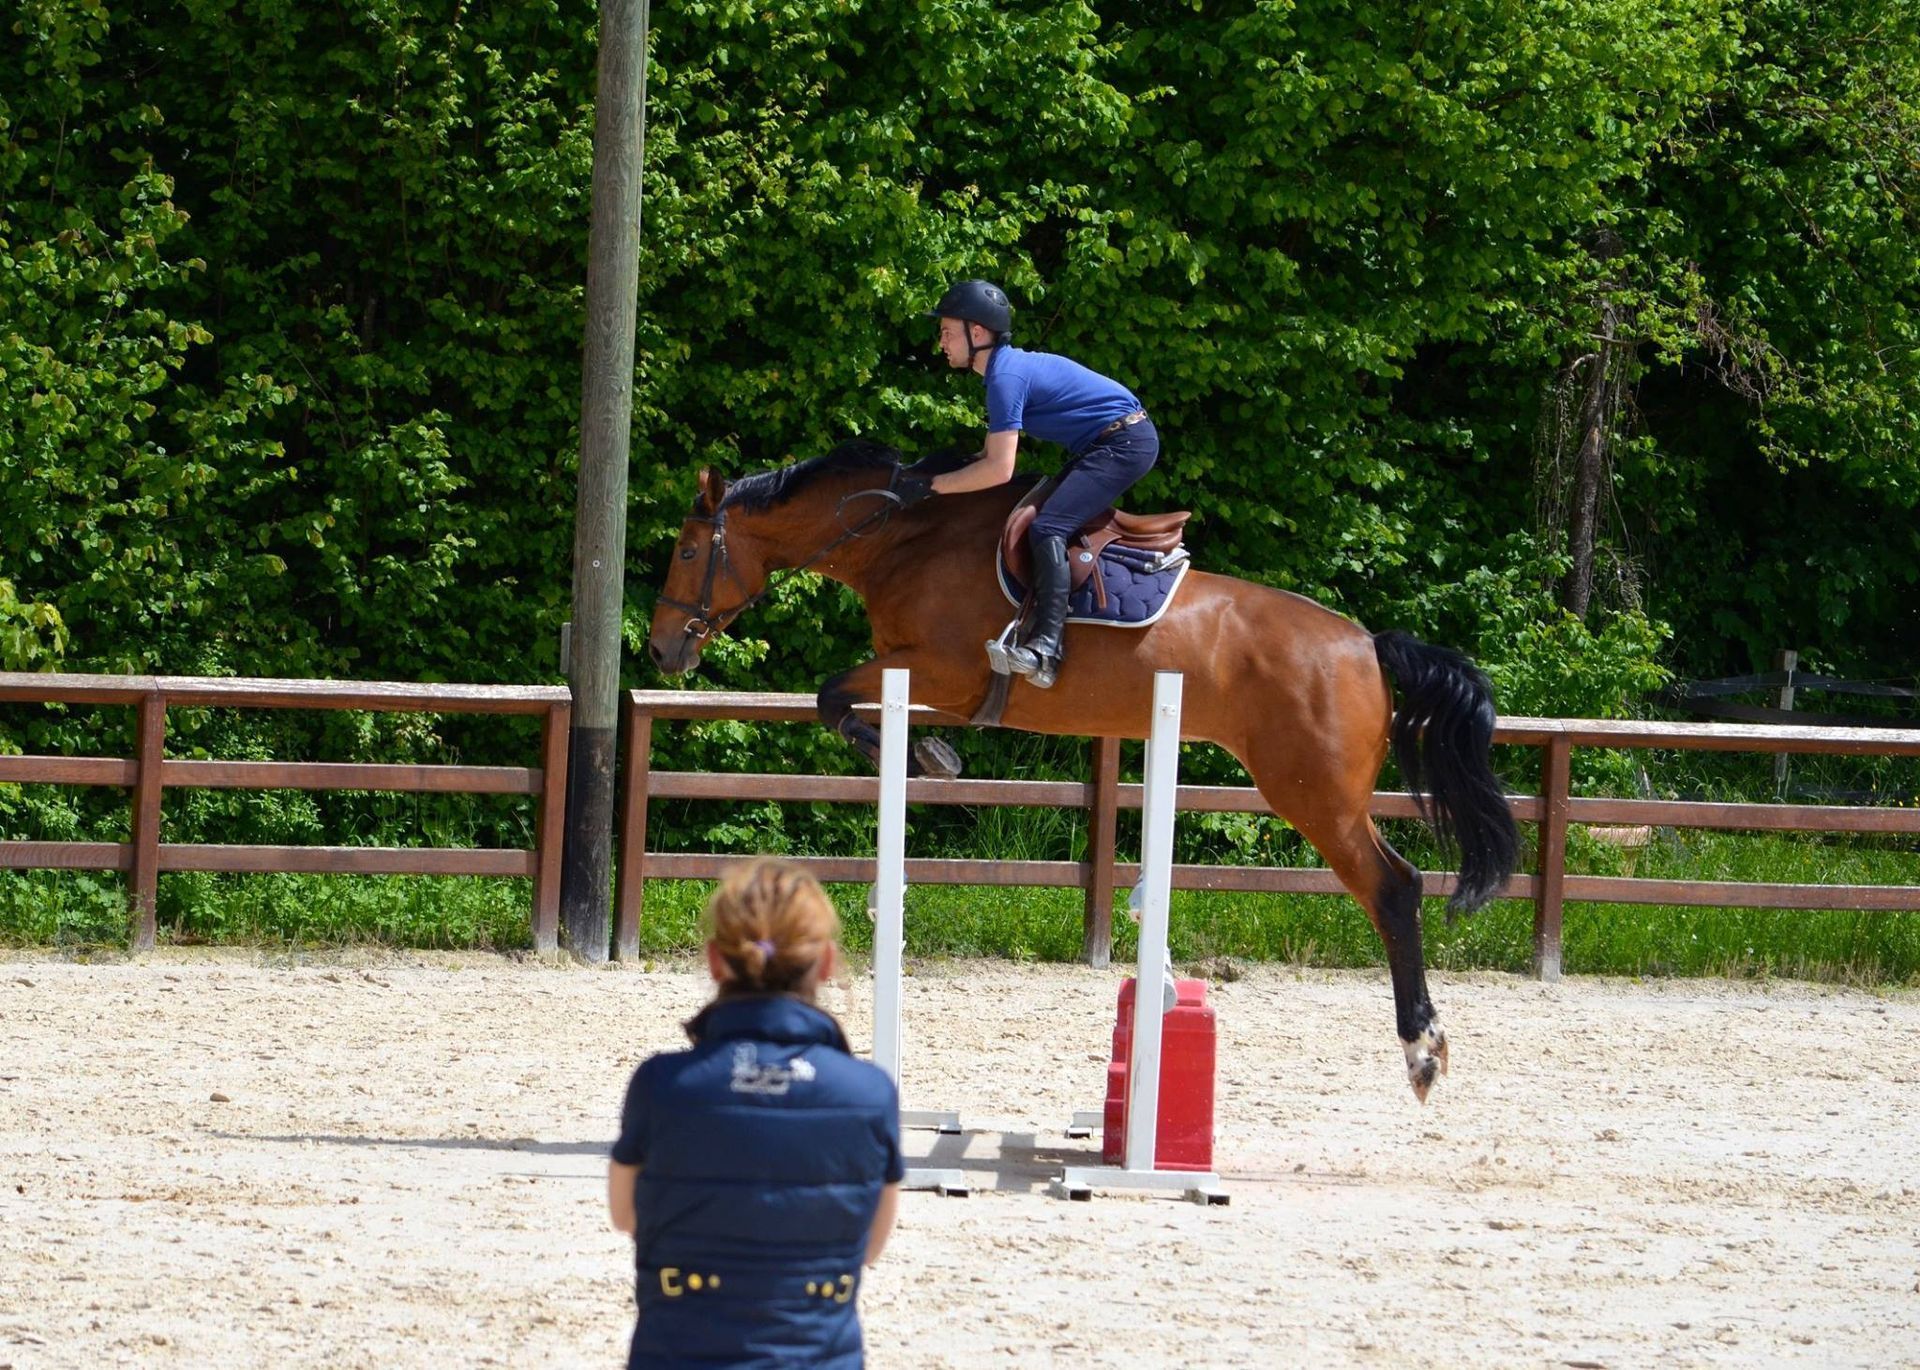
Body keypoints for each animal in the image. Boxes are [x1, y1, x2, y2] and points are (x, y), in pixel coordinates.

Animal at [647, 440, 1519, 1101]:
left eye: (687, 550)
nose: (660, 650)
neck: (904, 538)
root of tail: (1366, 643)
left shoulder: (941, 671)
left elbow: (832, 696)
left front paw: (930, 756)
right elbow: (836, 700)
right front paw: (927, 755)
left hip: (1313, 794)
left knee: (1393, 888)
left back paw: (1422, 1049)